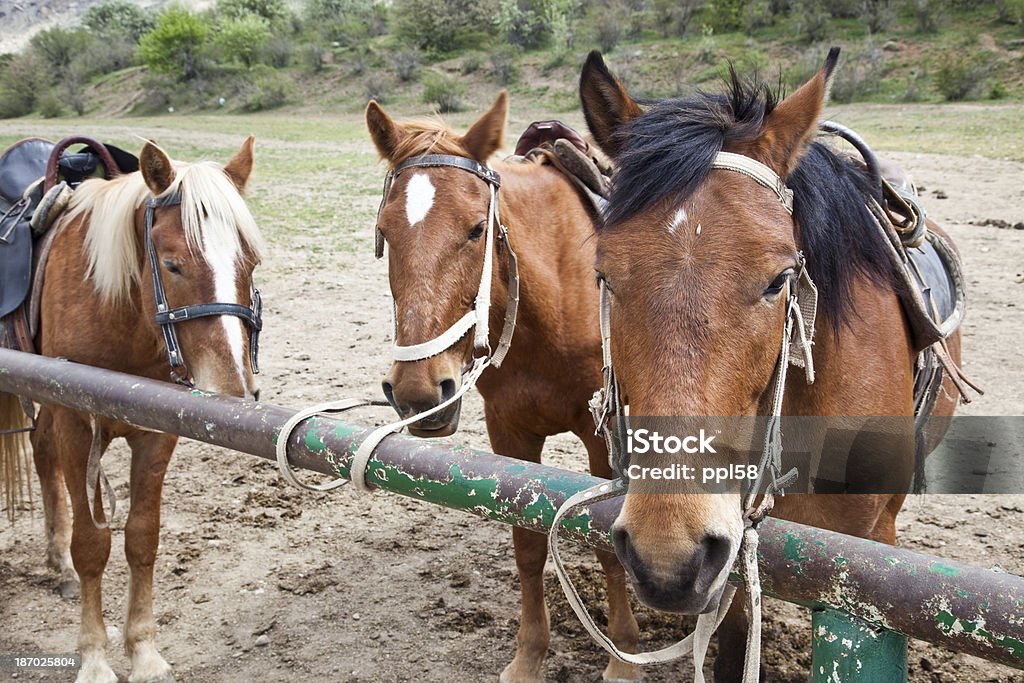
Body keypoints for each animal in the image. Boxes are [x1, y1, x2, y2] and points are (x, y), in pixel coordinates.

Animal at [1, 139, 264, 683]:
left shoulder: (157, 431)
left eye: (250, 263)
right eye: (173, 264)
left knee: (41, 454)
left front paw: (144, 651)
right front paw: (94, 658)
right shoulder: (76, 424)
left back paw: (57, 564)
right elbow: (92, 545)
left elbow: (142, 538)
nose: (232, 389)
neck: (117, 311)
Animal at [364, 92, 643, 683]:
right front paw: (529, 655)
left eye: (476, 229)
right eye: (385, 231)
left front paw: (623, 654)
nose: (419, 392)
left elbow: (607, 545)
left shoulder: (600, 435)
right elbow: (528, 544)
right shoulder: (509, 433)